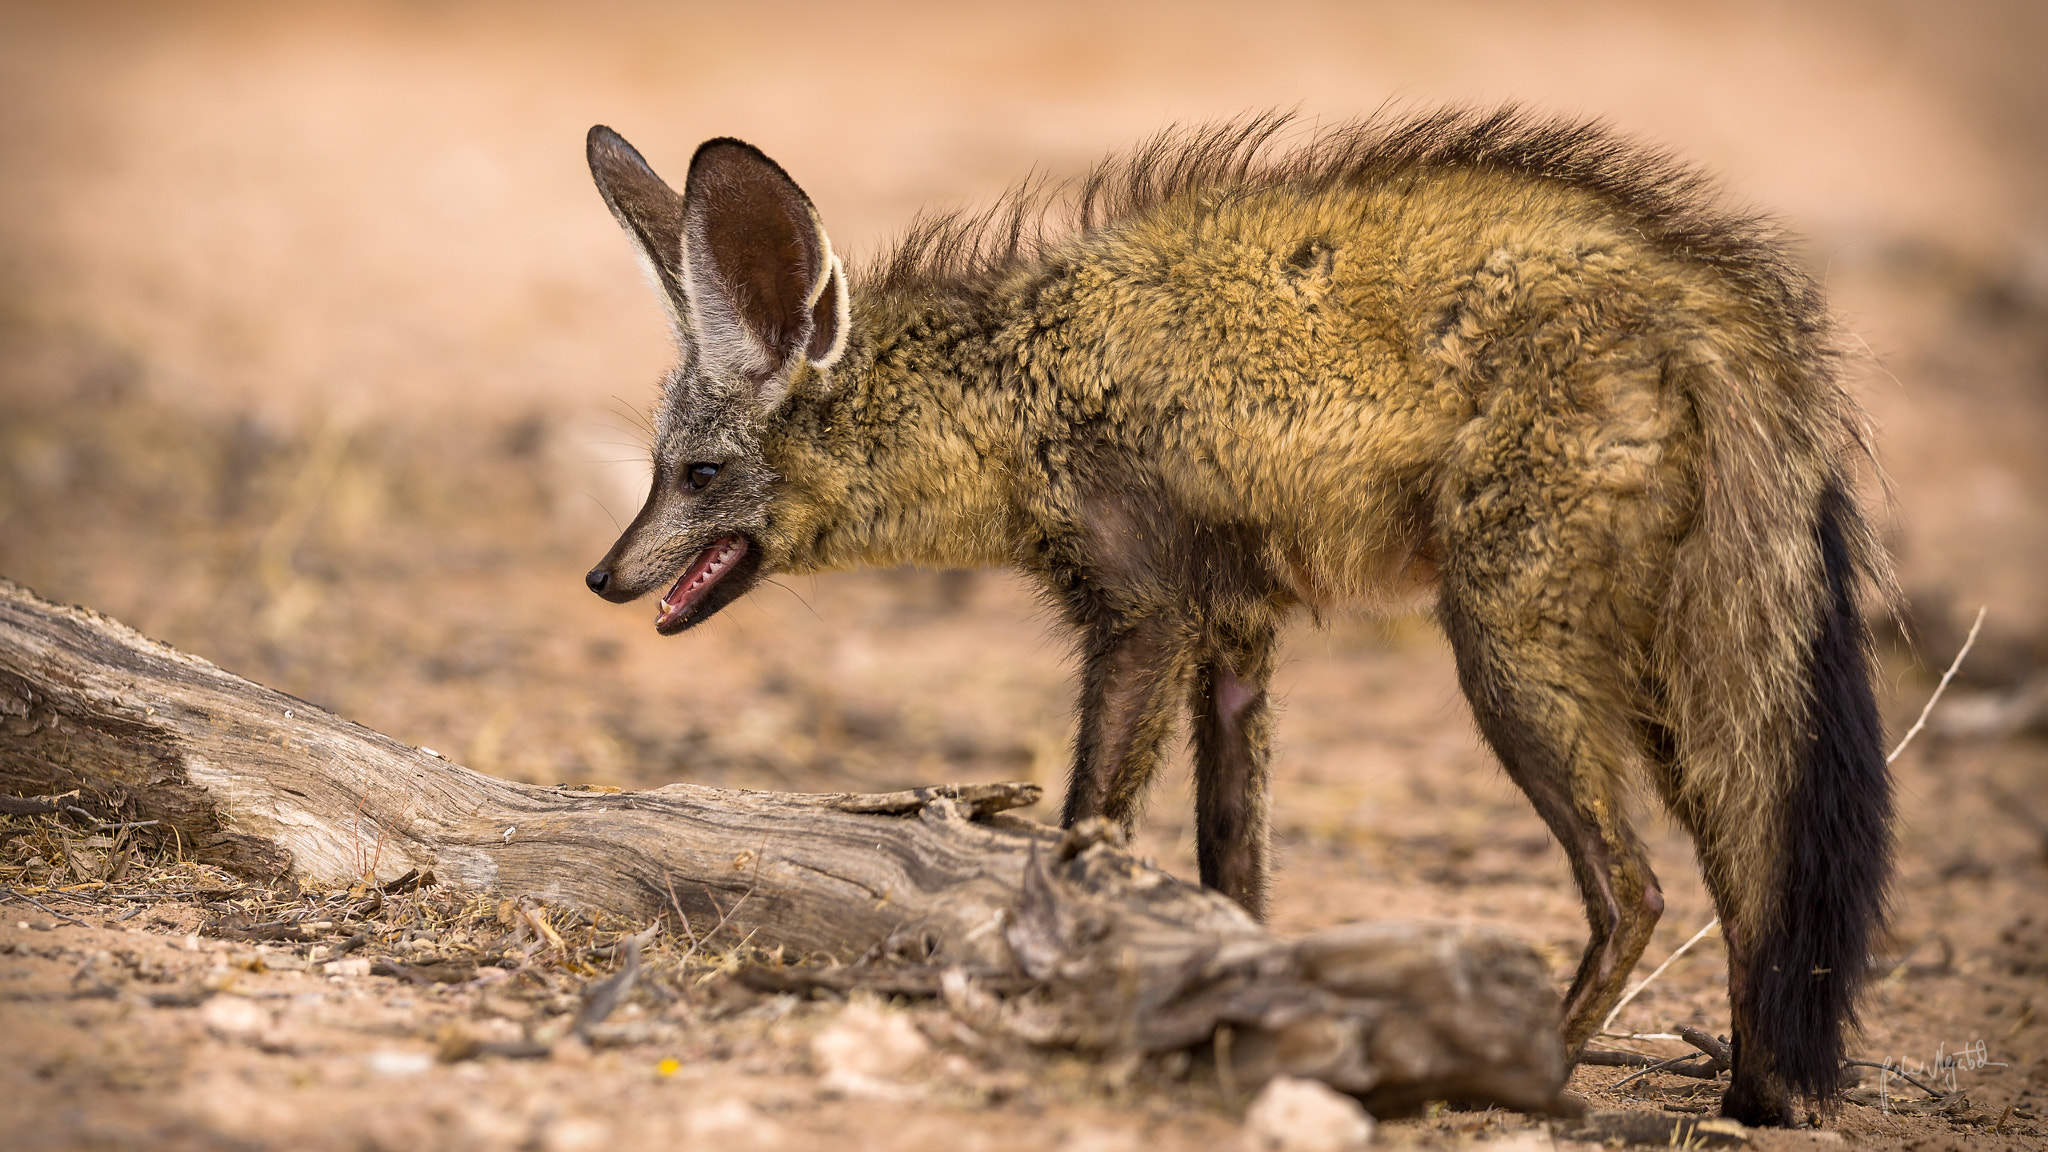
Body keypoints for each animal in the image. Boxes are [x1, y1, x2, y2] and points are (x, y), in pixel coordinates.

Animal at [577, 109, 1884, 1123]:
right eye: (656, 472)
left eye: (695, 475)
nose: (603, 577)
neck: (1015, 387)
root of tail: (1696, 289)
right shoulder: (1238, 636)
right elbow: (1232, 867)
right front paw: (1248, 1007)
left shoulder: (1146, 617)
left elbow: (1087, 827)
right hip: (1662, 679)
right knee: (1753, 876)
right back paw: (1754, 1097)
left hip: (1507, 654)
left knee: (1638, 892)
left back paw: (1535, 1075)